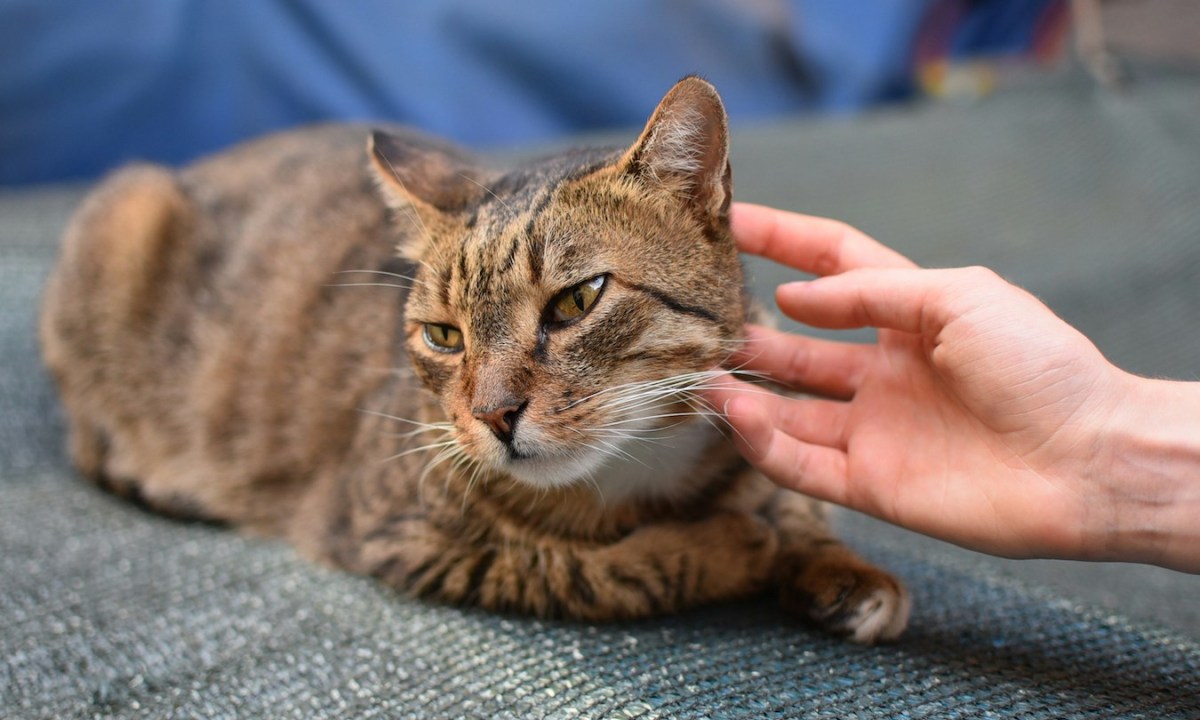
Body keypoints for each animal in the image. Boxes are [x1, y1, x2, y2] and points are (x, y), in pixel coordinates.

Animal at [44, 77, 907, 643]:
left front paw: (840, 569)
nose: (493, 416)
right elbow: (588, 571)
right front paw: (732, 546)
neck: (640, 466)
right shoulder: (400, 532)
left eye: (576, 301)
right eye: (444, 336)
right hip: (126, 216)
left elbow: (790, 503)